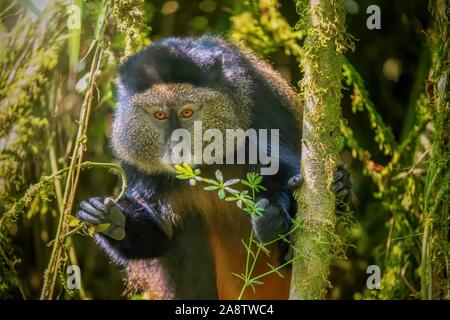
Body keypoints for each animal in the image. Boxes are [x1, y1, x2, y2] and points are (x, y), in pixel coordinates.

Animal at [77, 36, 352, 298]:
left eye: (187, 112)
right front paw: (112, 219)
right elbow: (160, 237)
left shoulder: (256, 102)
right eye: (159, 115)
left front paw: (272, 219)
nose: (178, 142)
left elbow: (282, 169)